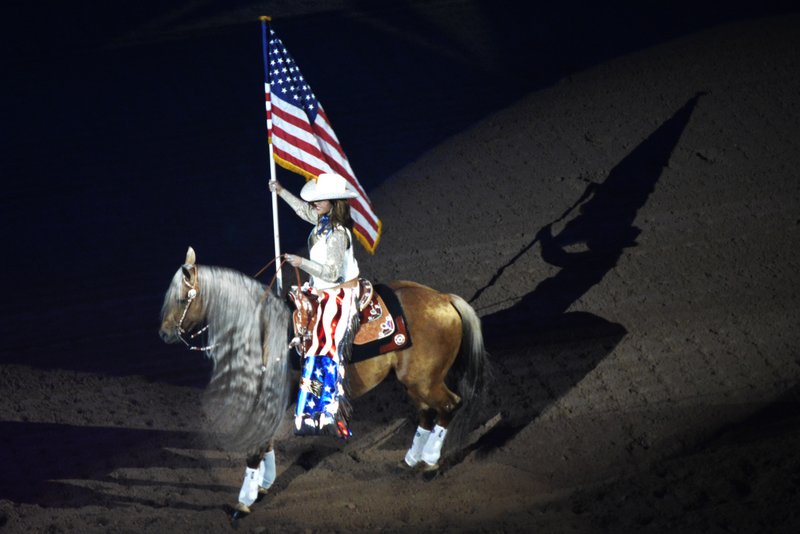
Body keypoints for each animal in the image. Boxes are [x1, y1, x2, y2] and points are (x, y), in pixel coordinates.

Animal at [158, 249, 488, 516]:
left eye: (181, 298)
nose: (163, 334)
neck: (263, 330)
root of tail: (444, 298)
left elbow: (256, 447)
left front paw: (244, 502)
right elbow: (265, 442)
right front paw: (263, 485)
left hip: (425, 381)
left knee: (449, 406)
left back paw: (430, 463)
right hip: (416, 382)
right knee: (427, 413)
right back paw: (410, 460)